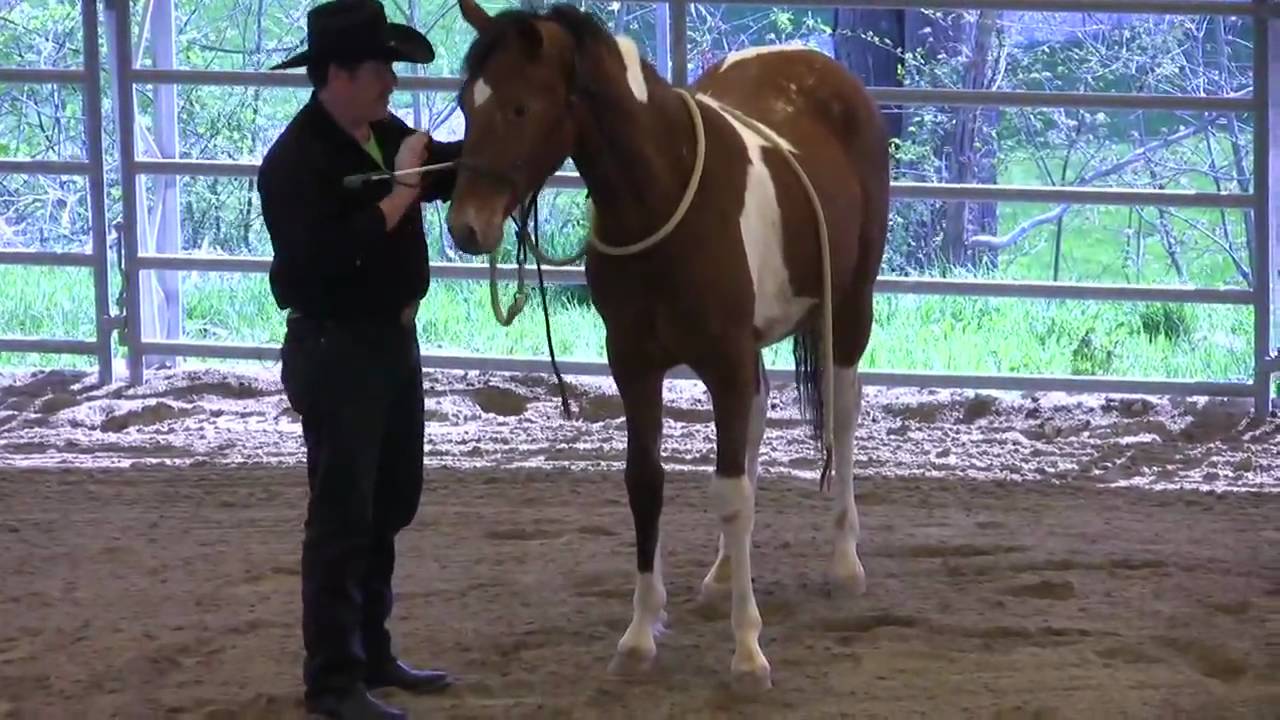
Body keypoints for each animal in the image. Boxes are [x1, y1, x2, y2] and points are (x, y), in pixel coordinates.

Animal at [443, 0, 890, 691]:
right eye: (467, 103)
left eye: (520, 107)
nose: (467, 227)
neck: (664, 199)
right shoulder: (635, 363)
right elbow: (646, 483)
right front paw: (638, 636)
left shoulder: (726, 362)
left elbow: (731, 495)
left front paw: (747, 651)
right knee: (758, 423)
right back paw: (725, 572)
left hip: (850, 310)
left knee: (842, 418)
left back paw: (845, 562)